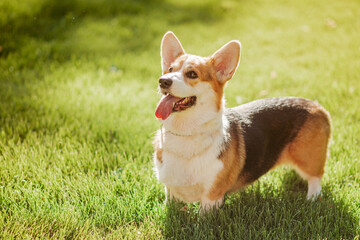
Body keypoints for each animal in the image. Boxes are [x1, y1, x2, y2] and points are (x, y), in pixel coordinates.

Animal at [153, 31, 332, 211]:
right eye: (169, 70)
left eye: (192, 74)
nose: (163, 80)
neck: (187, 133)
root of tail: (317, 106)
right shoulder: (171, 191)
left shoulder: (211, 196)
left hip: (308, 158)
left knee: (315, 178)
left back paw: (312, 199)